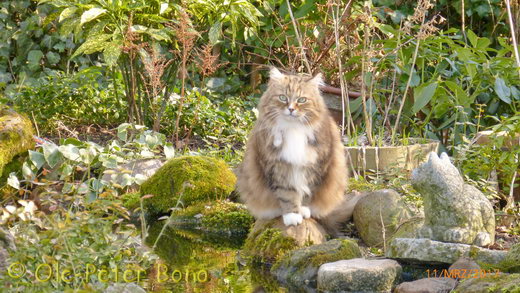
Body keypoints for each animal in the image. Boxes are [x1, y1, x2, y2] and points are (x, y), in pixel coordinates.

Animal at [238, 67, 352, 227]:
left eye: (301, 100)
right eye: (282, 98)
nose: (291, 109)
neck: (293, 128)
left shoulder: (316, 167)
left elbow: (306, 193)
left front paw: (303, 210)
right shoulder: (278, 167)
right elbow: (287, 195)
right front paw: (292, 215)